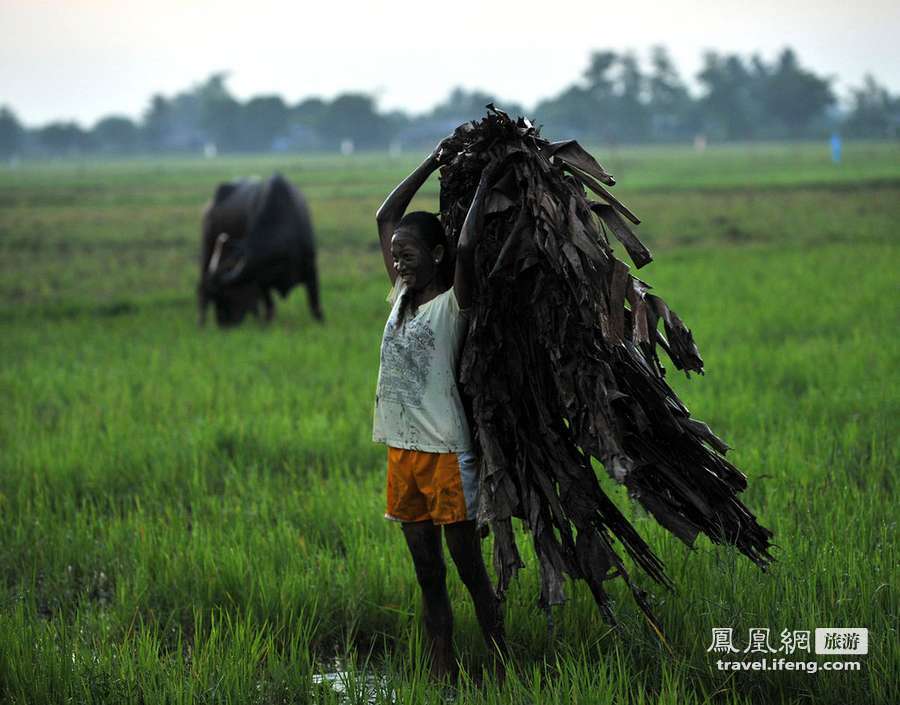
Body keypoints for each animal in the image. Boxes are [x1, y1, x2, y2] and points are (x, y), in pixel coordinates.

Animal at [198, 172, 324, 326]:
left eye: (222, 295)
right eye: (216, 296)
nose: (223, 323)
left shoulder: (311, 267)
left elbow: (315, 304)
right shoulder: (262, 279)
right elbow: (269, 307)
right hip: (207, 249)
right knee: (201, 287)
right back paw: (201, 323)